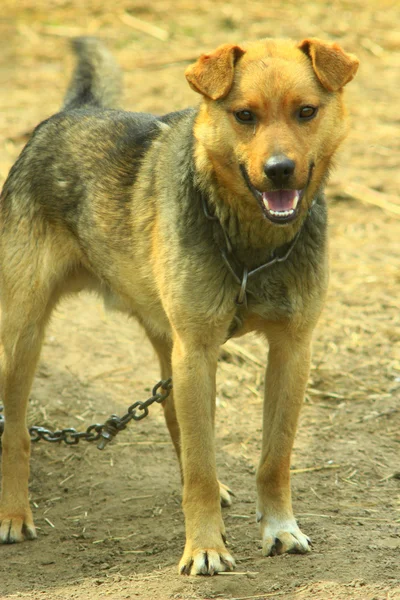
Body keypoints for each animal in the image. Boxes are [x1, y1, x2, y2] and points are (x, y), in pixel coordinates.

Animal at [0, 34, 358, 576]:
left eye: (306, 112)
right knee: (16, 432)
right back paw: (15, 514)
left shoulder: (291, 349)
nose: (279, 172)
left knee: (176, 419)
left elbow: (273, 458)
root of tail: (74, 111)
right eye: (244, 115)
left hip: (167, 340)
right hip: (22, 338)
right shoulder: (199, 349)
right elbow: (202, 466)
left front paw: (279, 528)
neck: (250, 247)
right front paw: (206, 547)